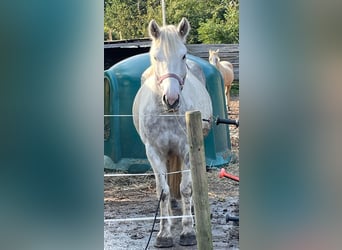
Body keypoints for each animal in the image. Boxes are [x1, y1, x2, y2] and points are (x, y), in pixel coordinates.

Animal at [132, 18, 212, 248]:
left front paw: (188, 231)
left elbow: (186, 188)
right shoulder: (154, 152)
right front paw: (164, 234)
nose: (172, 99)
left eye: (183, 55)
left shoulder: (186, 150)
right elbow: (163, 191)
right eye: (155, 56)